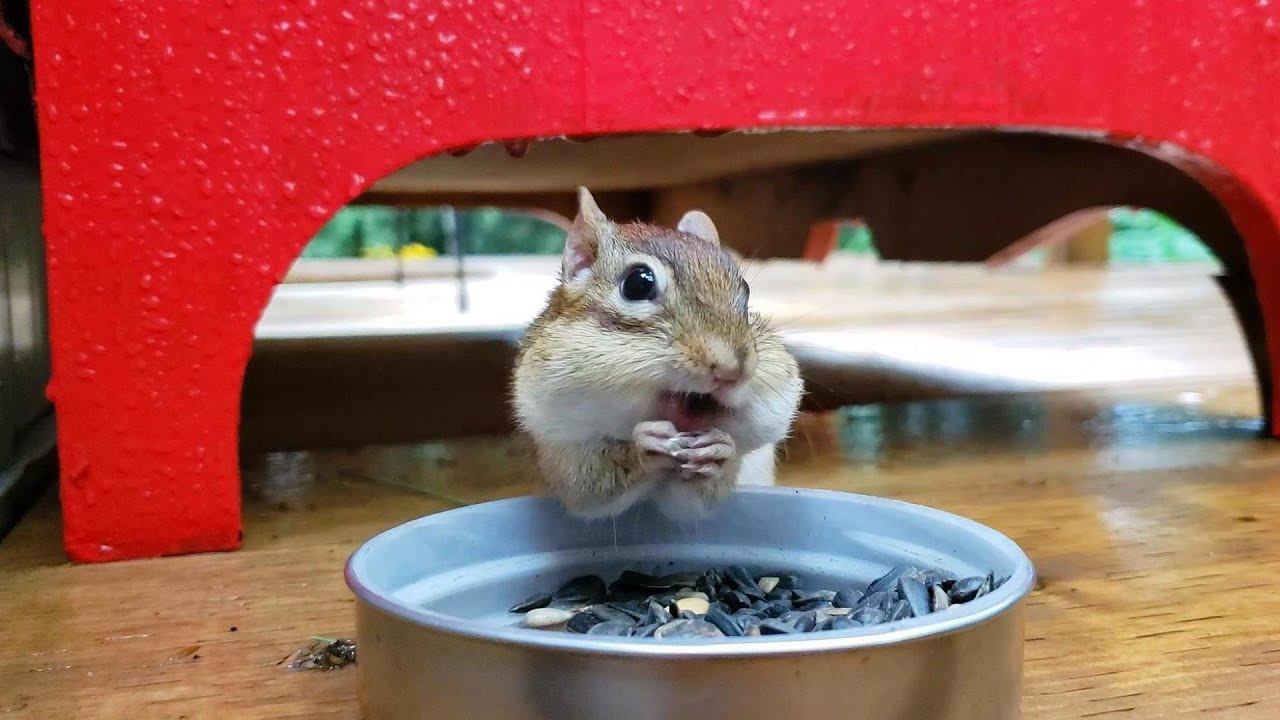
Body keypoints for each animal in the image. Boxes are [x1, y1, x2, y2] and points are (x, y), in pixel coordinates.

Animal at [512, 187, 803, 522]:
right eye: (638, 283)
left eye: (744, 289)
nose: (733, 370)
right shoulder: (565, 456)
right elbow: (594, 489)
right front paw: (645, 444)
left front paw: (721, 448)